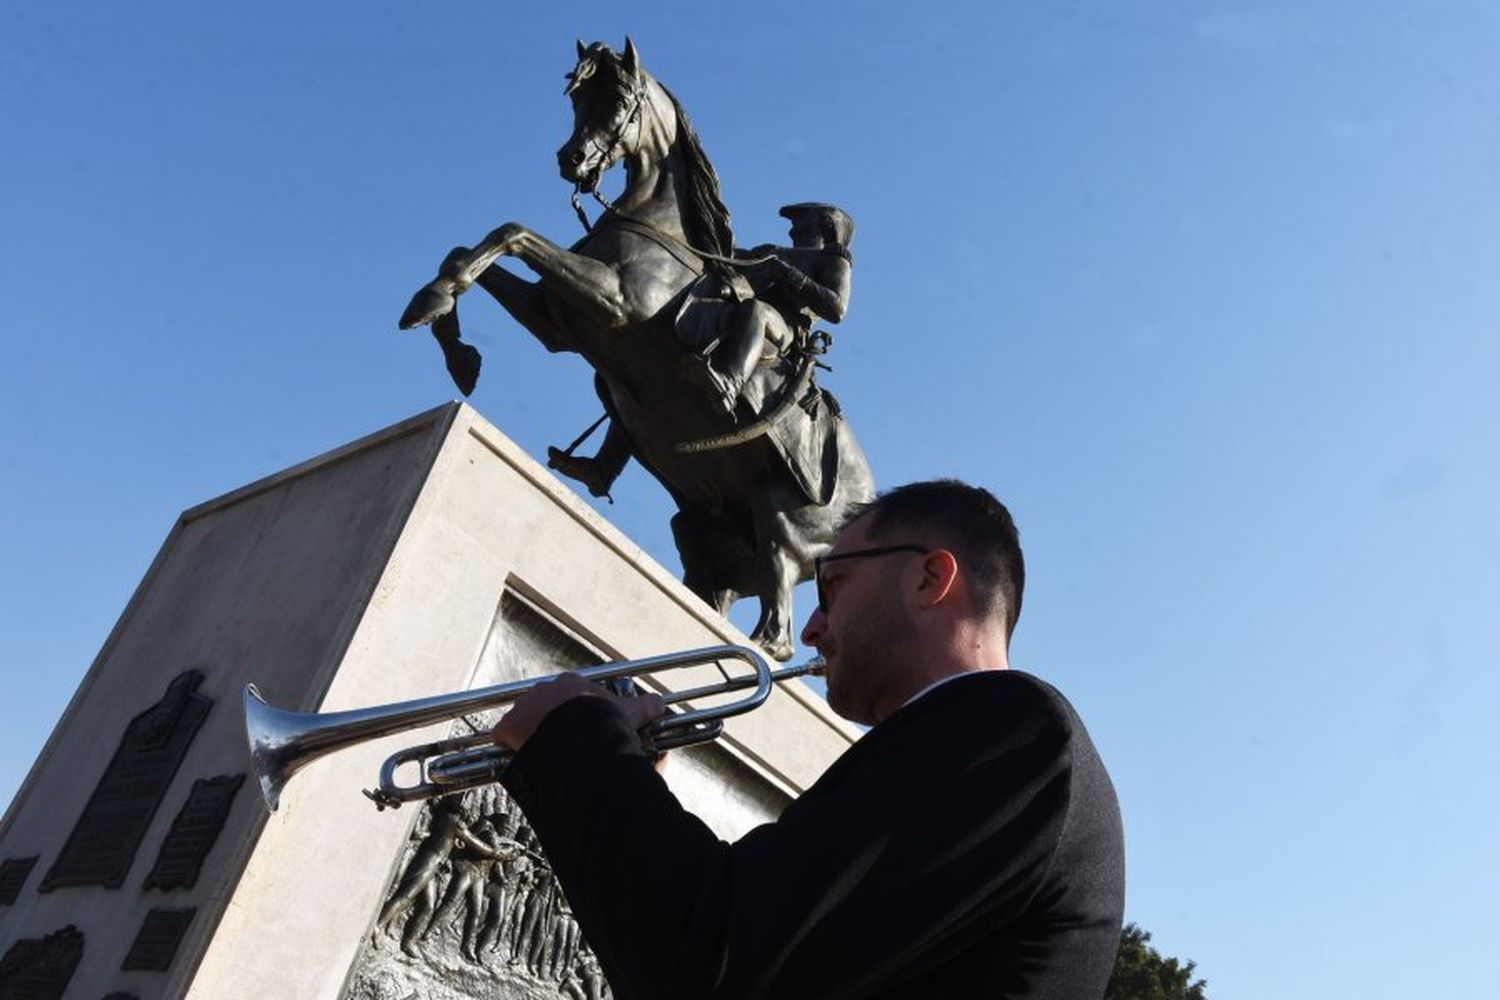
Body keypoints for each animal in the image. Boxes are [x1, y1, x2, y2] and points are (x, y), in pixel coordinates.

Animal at [399, 39, 876, 659]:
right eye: (576, 95)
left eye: (622, 99)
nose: (572, 159)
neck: (657, 227)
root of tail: (868, 499)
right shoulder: (556, 321)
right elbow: (467, 252)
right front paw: (447, 333)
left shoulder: (613, 301)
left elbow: (513, 233)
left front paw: (438, 308)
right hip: (703, 533)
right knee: (721, 597)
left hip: (782, 521)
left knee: (777, 636)